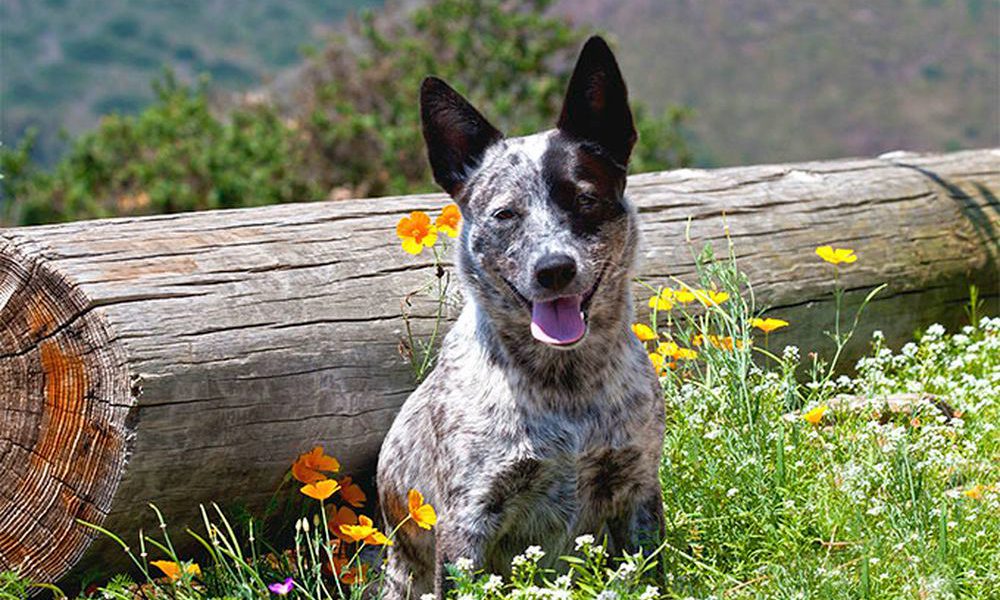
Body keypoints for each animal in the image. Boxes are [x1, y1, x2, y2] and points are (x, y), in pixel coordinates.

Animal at [376, 36, 664, 596]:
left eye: (584, 199)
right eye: (505, 214)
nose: (553, 269)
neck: (567, 388)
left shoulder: (638, 488)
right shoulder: (468, 521)